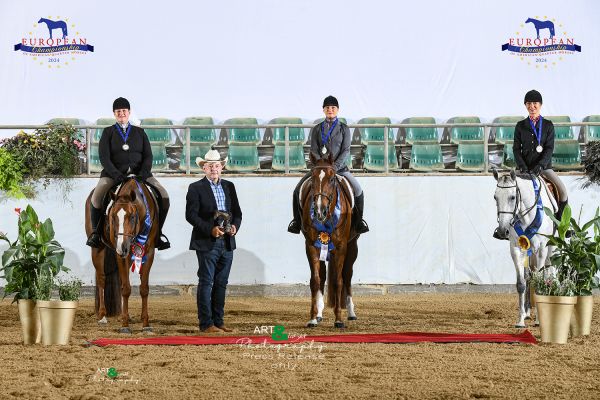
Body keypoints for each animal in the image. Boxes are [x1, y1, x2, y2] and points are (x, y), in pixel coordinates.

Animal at [85, 178, 159, 334]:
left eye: (132, 217)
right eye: (112, 217)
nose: (122, 247)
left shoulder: (149, 253)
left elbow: (144, 289)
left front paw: (145, 324)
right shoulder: (120, 255)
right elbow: (126, 289)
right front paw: (125, 326)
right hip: (98, 249)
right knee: (101, 279)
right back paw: (103, 316)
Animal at [302, 153, 358, 328]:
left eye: (332, 178)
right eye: (312, 177)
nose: (320, 211)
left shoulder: (341, 247)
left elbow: (338, 281)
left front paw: (339, 319)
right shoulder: (311, 246)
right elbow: (315, 280)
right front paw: (313, 318)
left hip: (352, 247)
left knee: (347, 276)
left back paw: (351, 313)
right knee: (322, 276)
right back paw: (319, 314)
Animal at [494, 169, 556, 328]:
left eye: (512, 197)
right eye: (495, 197)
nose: (502, 231)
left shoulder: (541, 250)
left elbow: (539, 281)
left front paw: (539, 320)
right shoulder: (516, 248)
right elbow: (521, 283)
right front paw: (521, 319)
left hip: (550, 249)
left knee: (548, 272)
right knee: (529, 276)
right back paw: (527, 312)